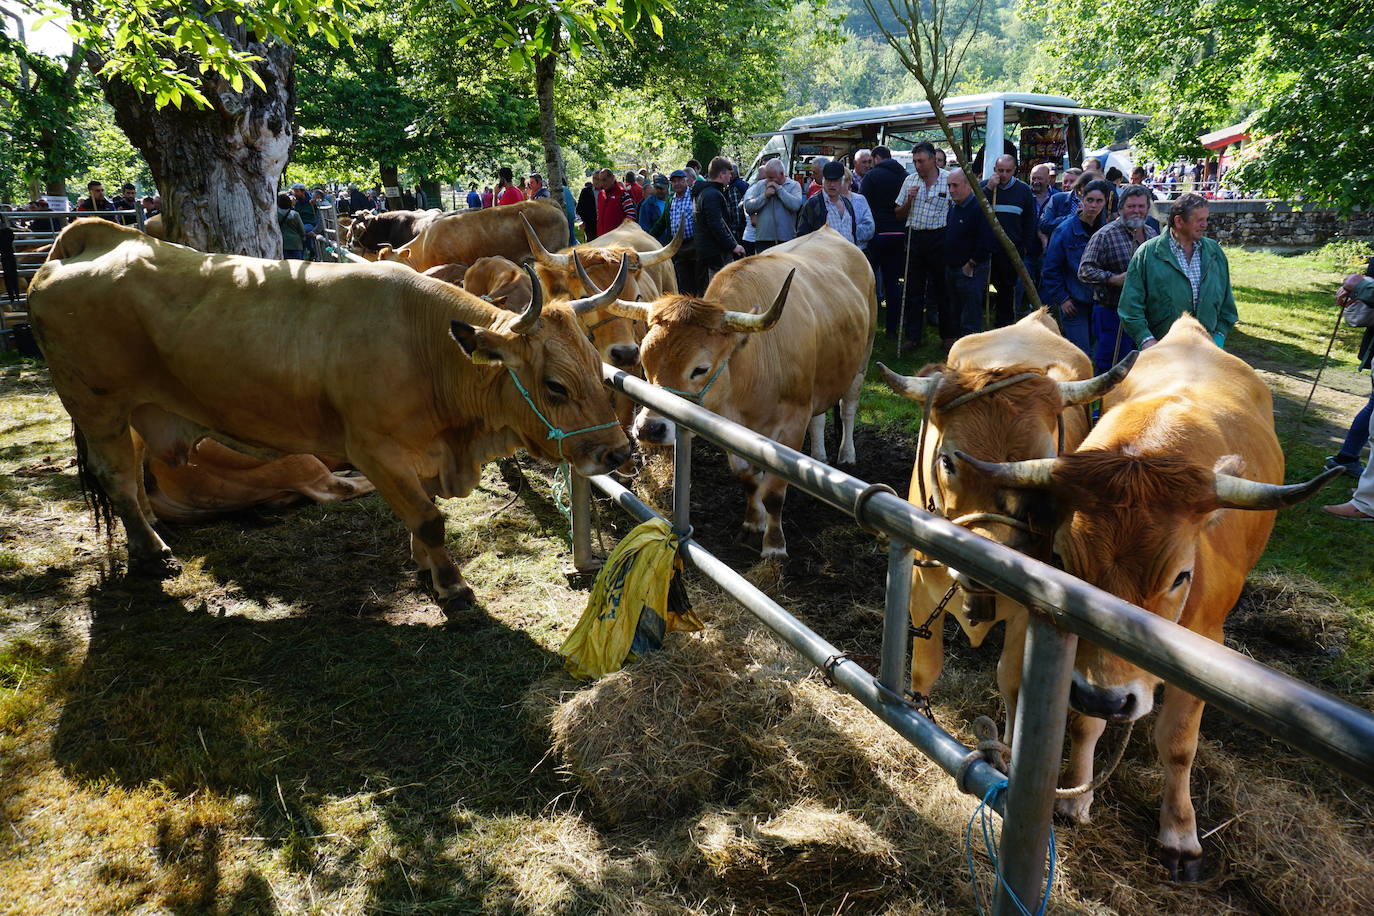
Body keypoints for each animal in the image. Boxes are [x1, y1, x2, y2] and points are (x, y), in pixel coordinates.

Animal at [30, 219, 632, 609]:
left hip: (133, 413)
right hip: (96, 405)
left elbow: (423, 512)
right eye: (554, 385)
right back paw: (153, 556)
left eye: (597, 367)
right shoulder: (375, 449)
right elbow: (430, 518)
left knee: (131, 480)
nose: (617, 452)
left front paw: (424, 566)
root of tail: (86, 241)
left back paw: (150, 540)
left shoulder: (416, 454)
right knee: (116, 478)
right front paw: (452, 586)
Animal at [604, 229, 879, 560]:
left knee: (849, 406)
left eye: (700, 368)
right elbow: (747, 478)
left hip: (862, 359)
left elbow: (774, 493)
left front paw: (774, 545)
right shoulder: (728, 427)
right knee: (820, 416)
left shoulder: (791, 424)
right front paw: (752, 522)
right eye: (645, 362)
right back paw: (818, 455)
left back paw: (846, 454)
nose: (648, 429)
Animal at [879, 311, 1137, 741]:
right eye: (947, 460)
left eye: (1045, 464)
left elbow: (1013, 682)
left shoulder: (1026, 618)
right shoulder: (918, 594)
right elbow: (925, 669)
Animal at [956, 315, 1341, 878]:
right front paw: (1077, 795)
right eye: (1063, 560)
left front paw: (1180, 834)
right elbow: (1084, 722)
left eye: (1181, 576)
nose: (1109, 696)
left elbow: (1178, 744)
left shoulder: (1206, 644)